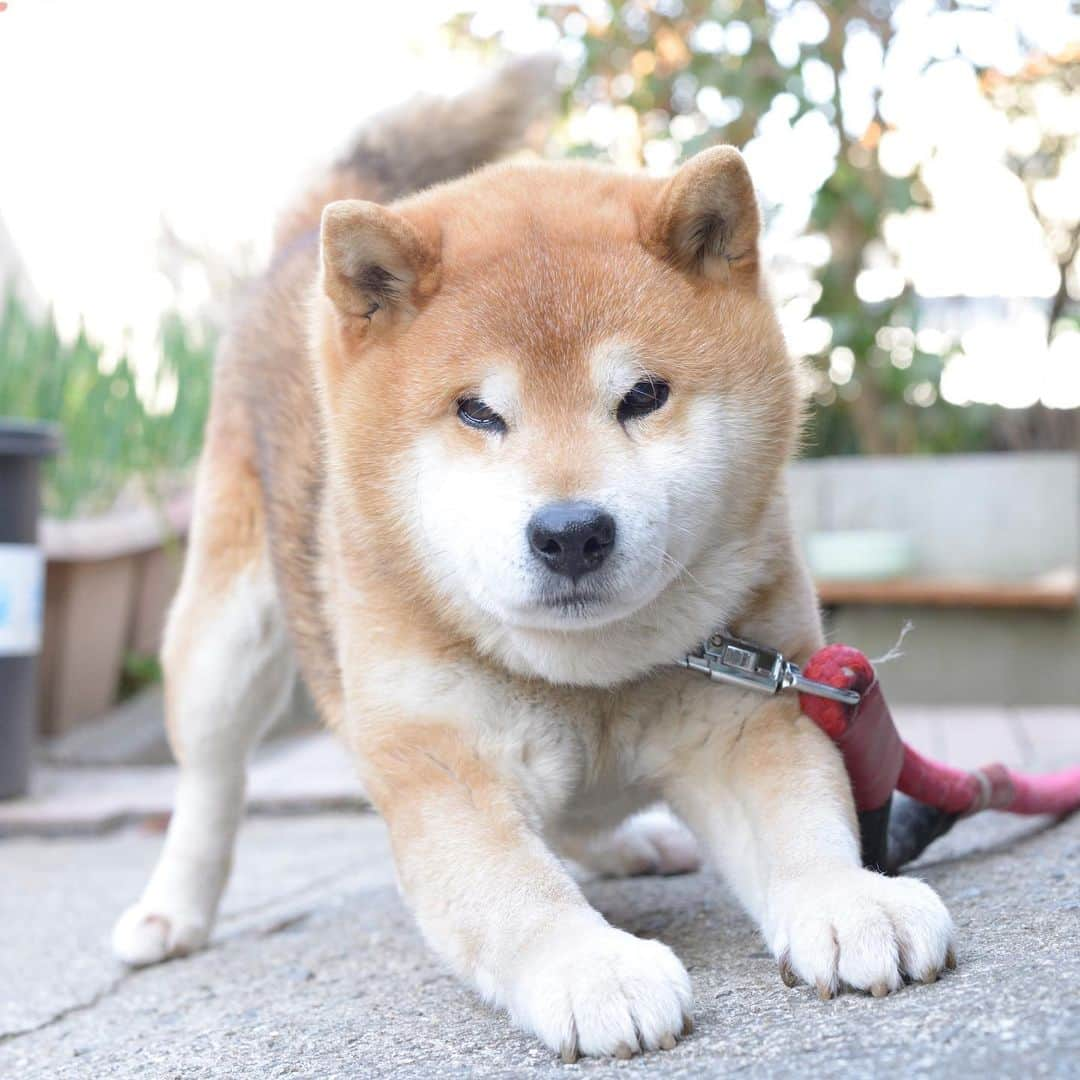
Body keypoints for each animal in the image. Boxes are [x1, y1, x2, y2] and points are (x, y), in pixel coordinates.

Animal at [111, 56, 954, 1054]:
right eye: (477, 412)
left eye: (643, 395)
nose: (571, 532)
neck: (588, 677)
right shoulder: (443, 763)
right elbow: (518, 893)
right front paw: (592, 969)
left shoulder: (754, 711)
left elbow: (806, 823)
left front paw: (850, 900)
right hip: (224, 640)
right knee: (209, 782)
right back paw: (170, 911)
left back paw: (628, 843)